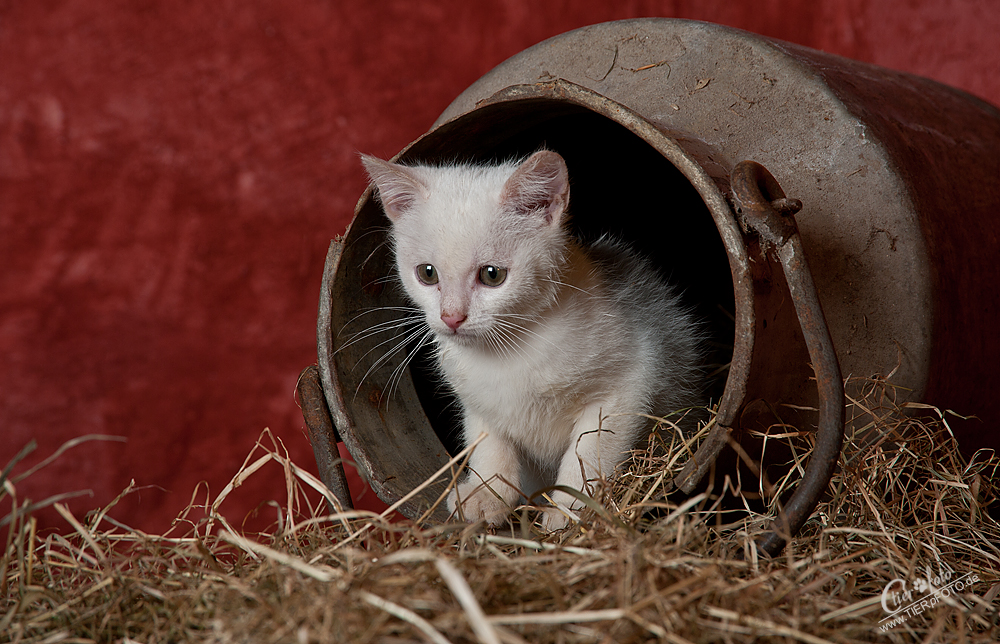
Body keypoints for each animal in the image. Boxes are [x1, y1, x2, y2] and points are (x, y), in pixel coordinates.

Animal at [362, 150, 704, 528]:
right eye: (427, 274)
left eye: (491, 275)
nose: (451, 317)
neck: (510, 349)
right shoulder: (476, 398)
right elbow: (488, 443)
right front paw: (487, 493)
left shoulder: (631, 379)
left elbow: (590, 452)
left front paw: (570, 509)